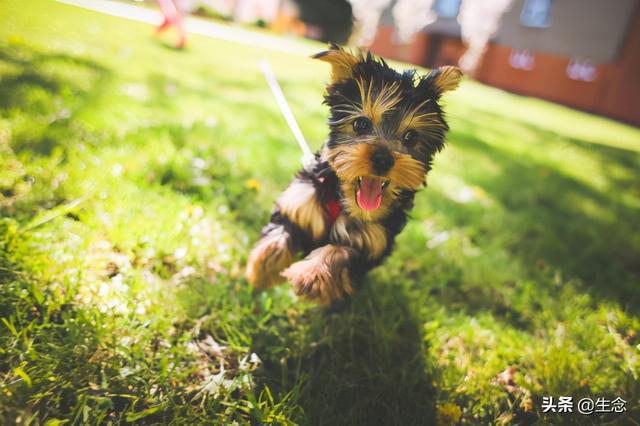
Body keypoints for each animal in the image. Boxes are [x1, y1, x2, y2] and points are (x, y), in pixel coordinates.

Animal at [245, 44, 460, 302]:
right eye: (361, 124)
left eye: (411, 136)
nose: (383, 159)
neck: (341, 201)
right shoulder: (300, 202)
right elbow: (279, 235)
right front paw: (261, 272)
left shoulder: (370, 241)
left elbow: (339, 253)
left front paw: (311, 276)